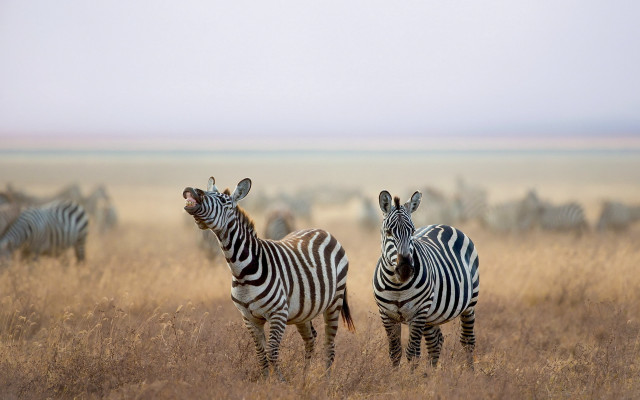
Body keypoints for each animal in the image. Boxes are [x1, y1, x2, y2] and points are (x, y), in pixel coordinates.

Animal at [182, 177, 355, 379]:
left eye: (224, 201)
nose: (191, 190)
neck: (242, 271)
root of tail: (321, 230)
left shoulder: (278, 314)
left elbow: (272, 352)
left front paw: (280, 382)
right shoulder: (249, 318)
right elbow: (260, 353)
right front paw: (266, 381)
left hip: (334, 302)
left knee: (329, 344)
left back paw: (325, 379)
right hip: (304, 311)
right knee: (311, 339)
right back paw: (304, 378)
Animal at [373, 190, 479, 370]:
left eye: (412, 231)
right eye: (388, 232)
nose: (405, 269)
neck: (397, 286)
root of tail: (443, 225)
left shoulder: (418, 313)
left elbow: (412, 353)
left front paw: (410, 378)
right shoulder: (386, 314)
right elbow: (395, 352)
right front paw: (394, 377)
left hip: (469, 304)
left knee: (467, 341)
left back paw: (470, 373)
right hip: (431, 315)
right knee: (435, 342)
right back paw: (431, 374)